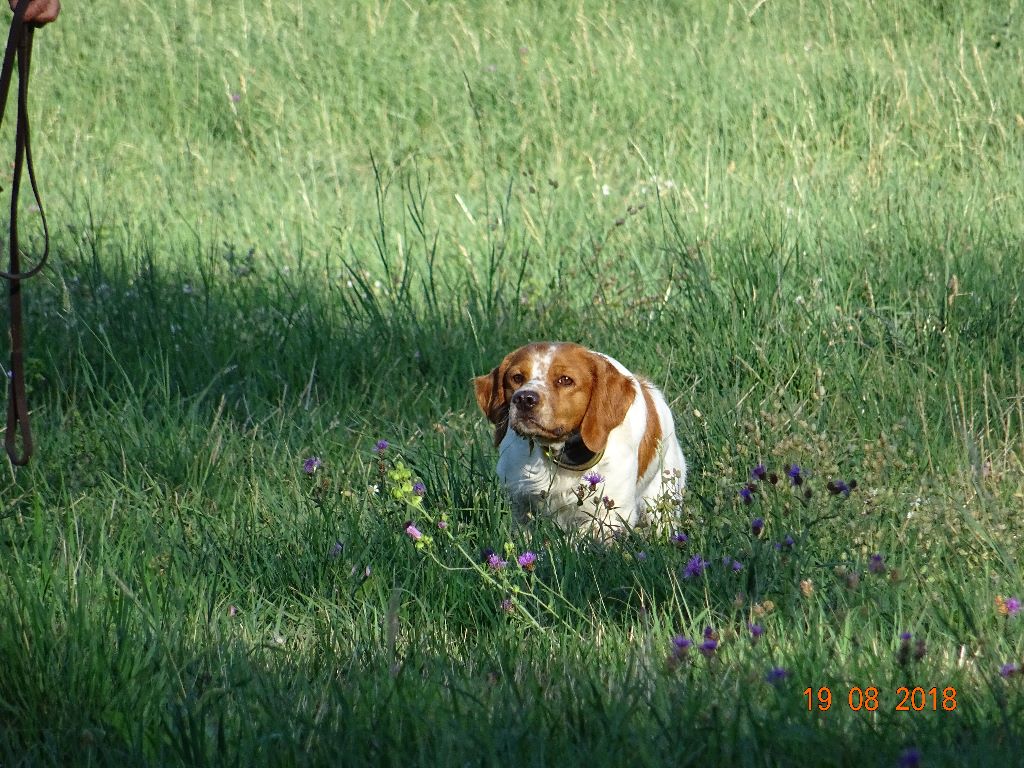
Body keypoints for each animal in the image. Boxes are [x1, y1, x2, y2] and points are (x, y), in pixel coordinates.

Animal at [473, 342, 688, 536]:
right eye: (517, 377)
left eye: (565, 380)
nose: (524, 399)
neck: (561, 455)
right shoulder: (520, 504)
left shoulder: (611, 513)